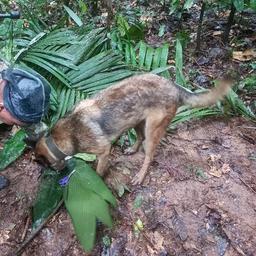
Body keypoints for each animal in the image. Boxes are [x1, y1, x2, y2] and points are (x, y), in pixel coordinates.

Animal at [34, 73, 232, 184]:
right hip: (137, 121)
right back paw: (132, 149)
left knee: (149, 155)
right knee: (139, 137)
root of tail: (174, 86)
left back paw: (140, 176)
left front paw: (97, 180)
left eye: (46, 166)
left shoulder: (104, 150)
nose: (58, 173)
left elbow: (99, 170)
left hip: (152, 130)